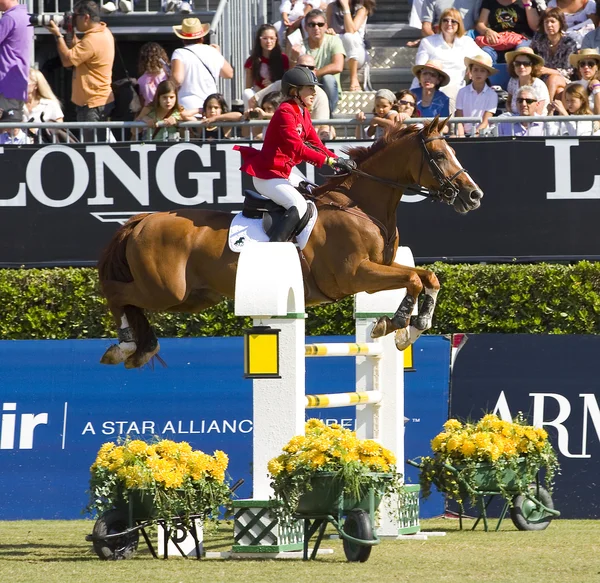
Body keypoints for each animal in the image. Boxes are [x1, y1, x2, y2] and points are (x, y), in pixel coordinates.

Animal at [97, 116, 482, 368]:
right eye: (441, 156)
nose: (474, 196)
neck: (361, 205)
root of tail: (143, 219)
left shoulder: (381, 267)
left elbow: (428, 277)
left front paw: (412, 328)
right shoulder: (356, 274)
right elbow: (415, 279)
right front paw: (396, 322)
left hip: (193, 298)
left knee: (131, 302)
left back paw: (139, 347)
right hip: (166, 290)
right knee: (118, 295)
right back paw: (124, 347)